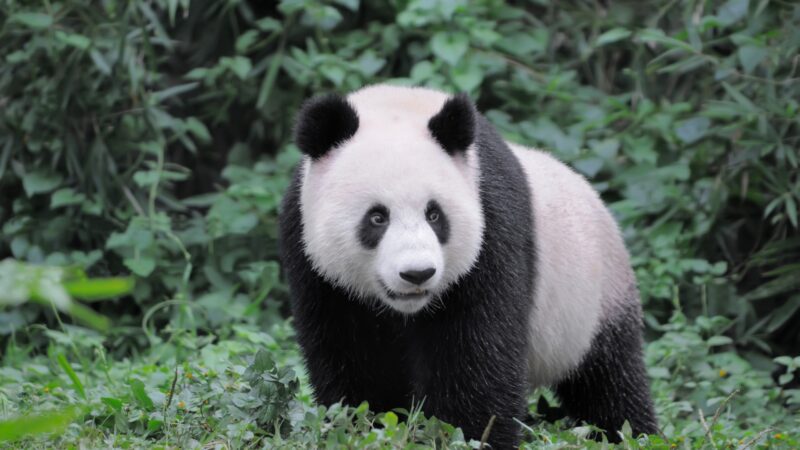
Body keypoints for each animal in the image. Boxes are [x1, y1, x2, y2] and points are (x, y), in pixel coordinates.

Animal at [280, 83, 656, 446]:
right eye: (377, 217)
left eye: (434, 215)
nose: (417, 274)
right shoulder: (312, 258)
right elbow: (352, 357)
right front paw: (363, 425)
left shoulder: (492, 227)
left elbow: (478, 356)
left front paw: (468, 436)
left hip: (594, 298)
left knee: (609, 380)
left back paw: (630, 432)